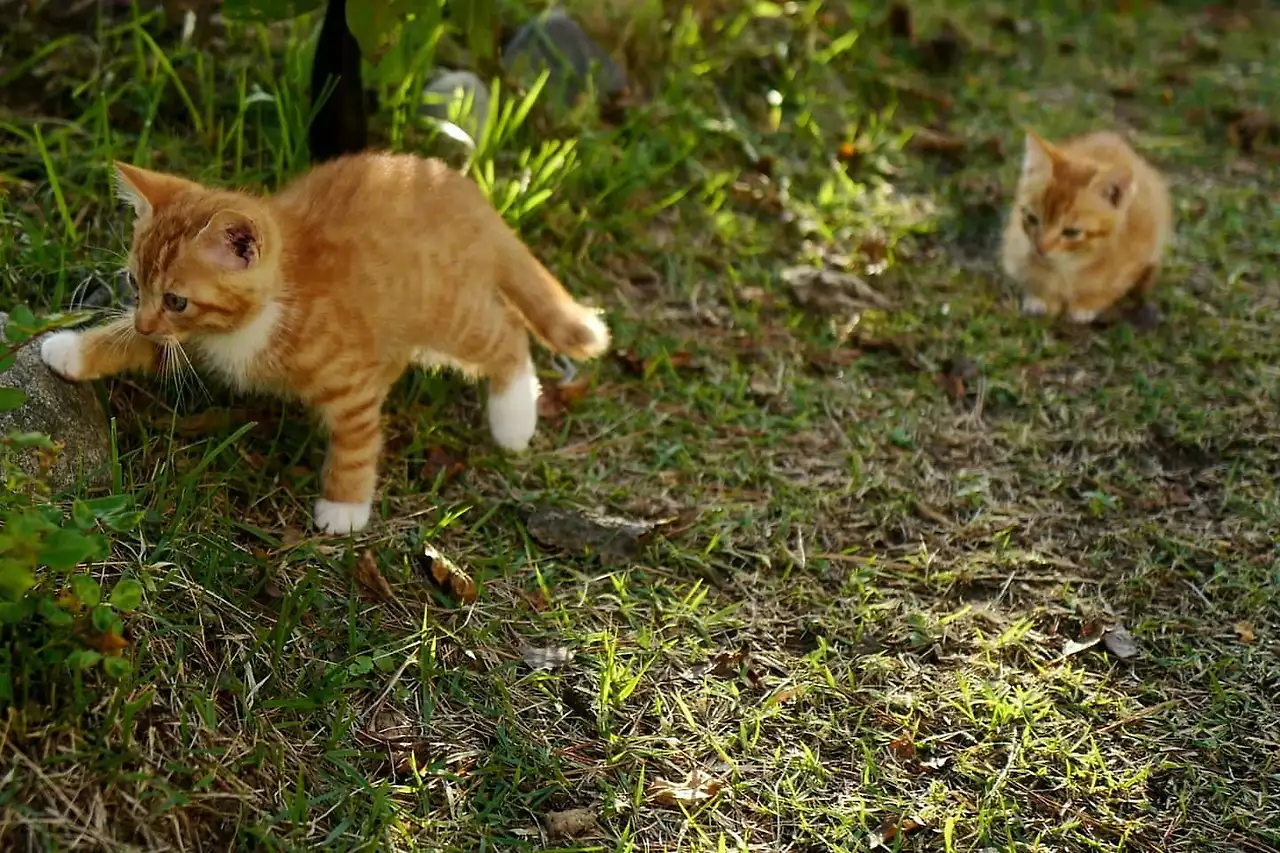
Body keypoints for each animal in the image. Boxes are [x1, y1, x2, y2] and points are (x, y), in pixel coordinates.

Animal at [40, 153, 611, 534]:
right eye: (134, 284)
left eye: (177, 299)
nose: (143, 322)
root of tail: (471, 197)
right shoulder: (190, 340)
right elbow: (137, 346)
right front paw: (70, 350)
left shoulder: (349, 380)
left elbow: (357, 439)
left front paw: (345, 508)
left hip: (449, 312)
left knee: (507, 331)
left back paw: (513, 420)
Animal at [1000, 128, 1173, 324]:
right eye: (1032, 218)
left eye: (1072, 232)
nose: (1040, 248)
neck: (1070, 265)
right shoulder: (1016, 245)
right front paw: (1041, 298)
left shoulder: (1139, 256)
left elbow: (1111, 288)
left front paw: (1086, 304)